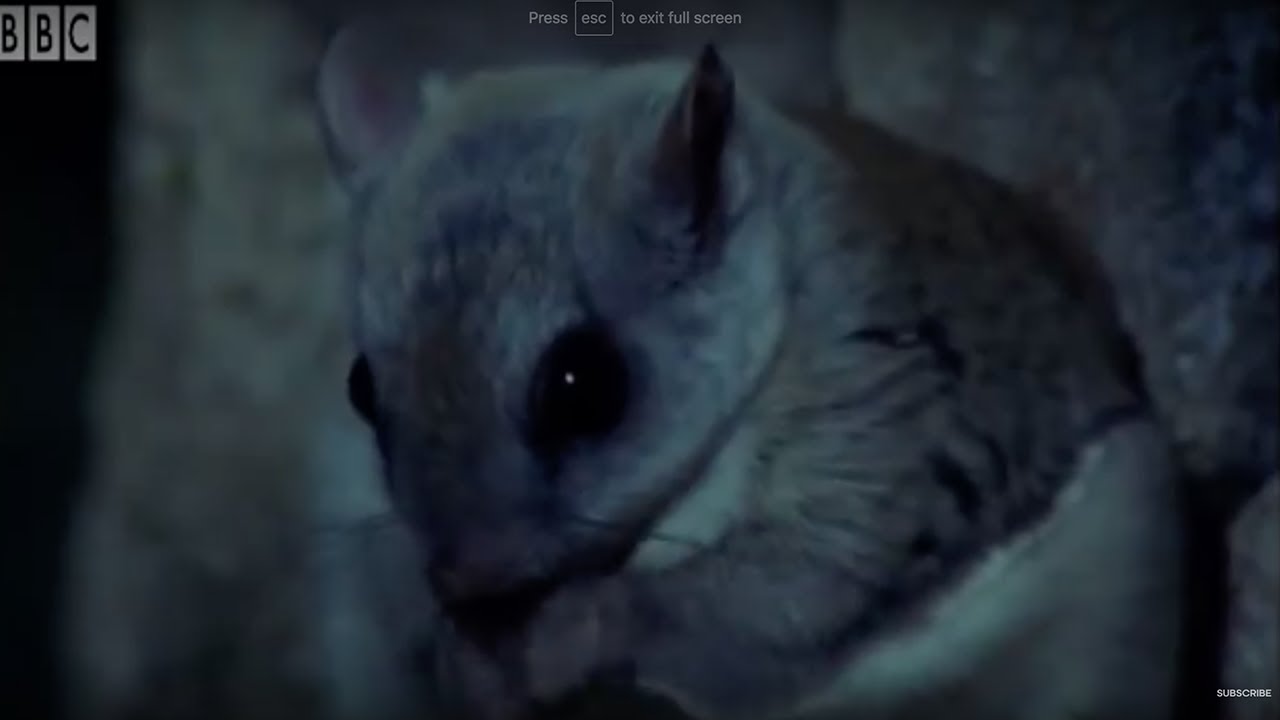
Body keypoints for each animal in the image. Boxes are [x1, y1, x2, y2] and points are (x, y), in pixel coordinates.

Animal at [317, 37, 1186, 720]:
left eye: (583, 385)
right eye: (360, 387)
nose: (463, 579)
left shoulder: (883, 418)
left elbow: (794, 584)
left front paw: (574, 632)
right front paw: (460, 658)